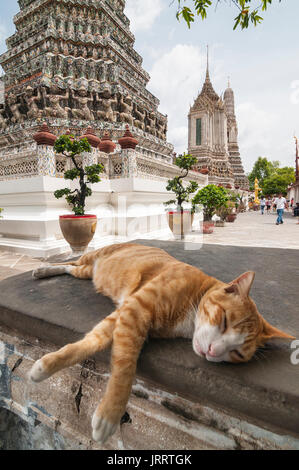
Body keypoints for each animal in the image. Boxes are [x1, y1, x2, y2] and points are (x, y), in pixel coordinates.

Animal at [29, 242, 294, 444]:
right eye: (225, 321)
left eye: (237, 353)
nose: (212, 351)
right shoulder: (134, 310)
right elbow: (124, 367)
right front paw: (110, 414)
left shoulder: (125, 317)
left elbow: (94, 340)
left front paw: (47, 365)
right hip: (92, 256)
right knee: (70, 262)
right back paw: (41, 268)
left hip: (87, 273)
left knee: (72, 269)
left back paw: (45, 271)